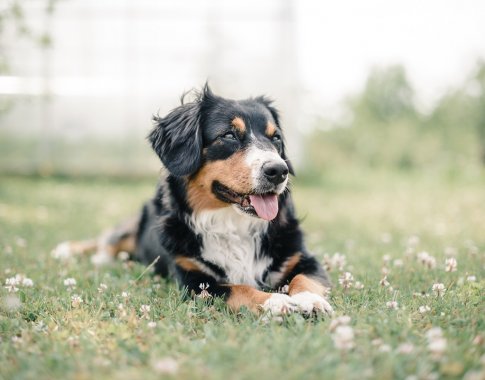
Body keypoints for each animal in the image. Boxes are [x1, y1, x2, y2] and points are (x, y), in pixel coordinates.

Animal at [54, 84, 332, 316]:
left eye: (275, 138)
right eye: (229, 135)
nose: (278, 171)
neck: (232, 225)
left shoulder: (302, 257)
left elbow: (305, 279)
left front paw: (310, 300)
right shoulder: (194, 280)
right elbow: (238, 288)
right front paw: (274, 301)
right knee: (108, 239)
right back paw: (74, 250)